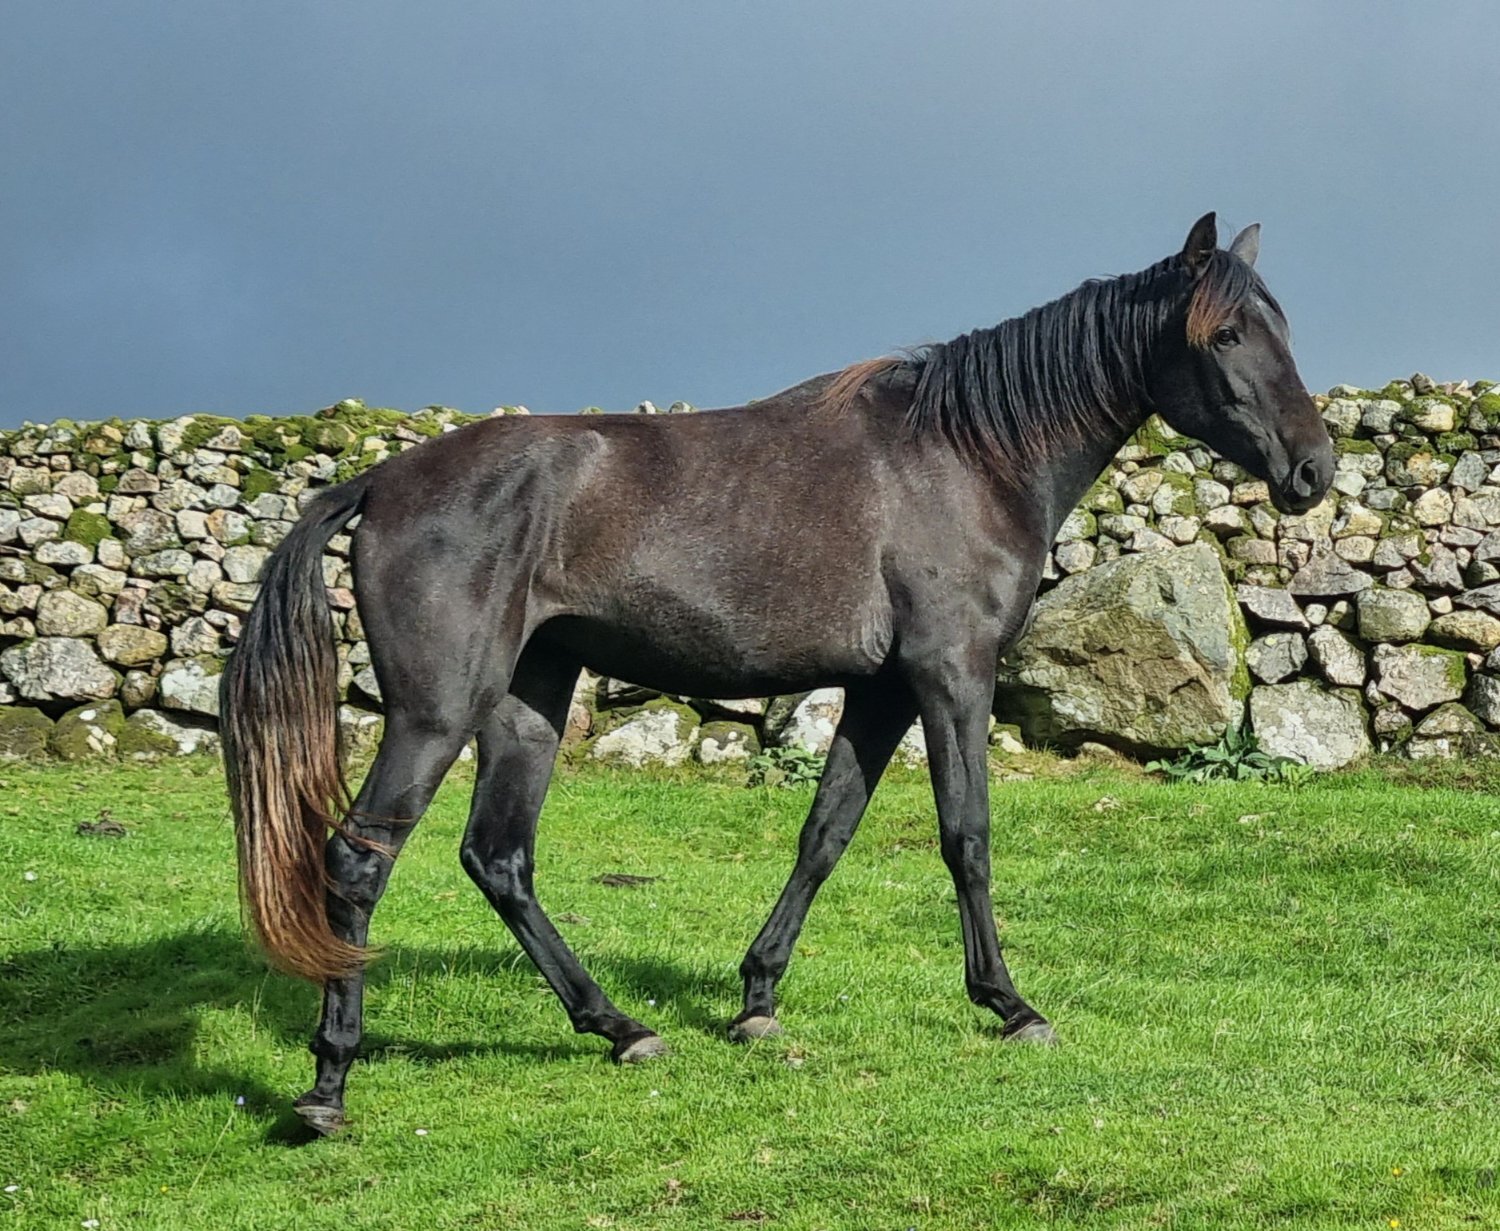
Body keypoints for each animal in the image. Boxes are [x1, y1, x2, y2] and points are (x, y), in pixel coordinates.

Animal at [222, 213, 1334, 1134]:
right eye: (1226, 337)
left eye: (1281, 327)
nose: (1313, 470)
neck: (968, 455)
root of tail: (383, 479)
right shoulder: (950, 676)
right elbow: (966, 837)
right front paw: (1010, 1004)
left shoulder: (882, 691)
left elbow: (824, 833)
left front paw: (756, 998)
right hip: (435, 711)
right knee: (360, 862)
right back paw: (328, 1085)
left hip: (529, 701)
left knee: (499, 860)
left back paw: (620, 1026)